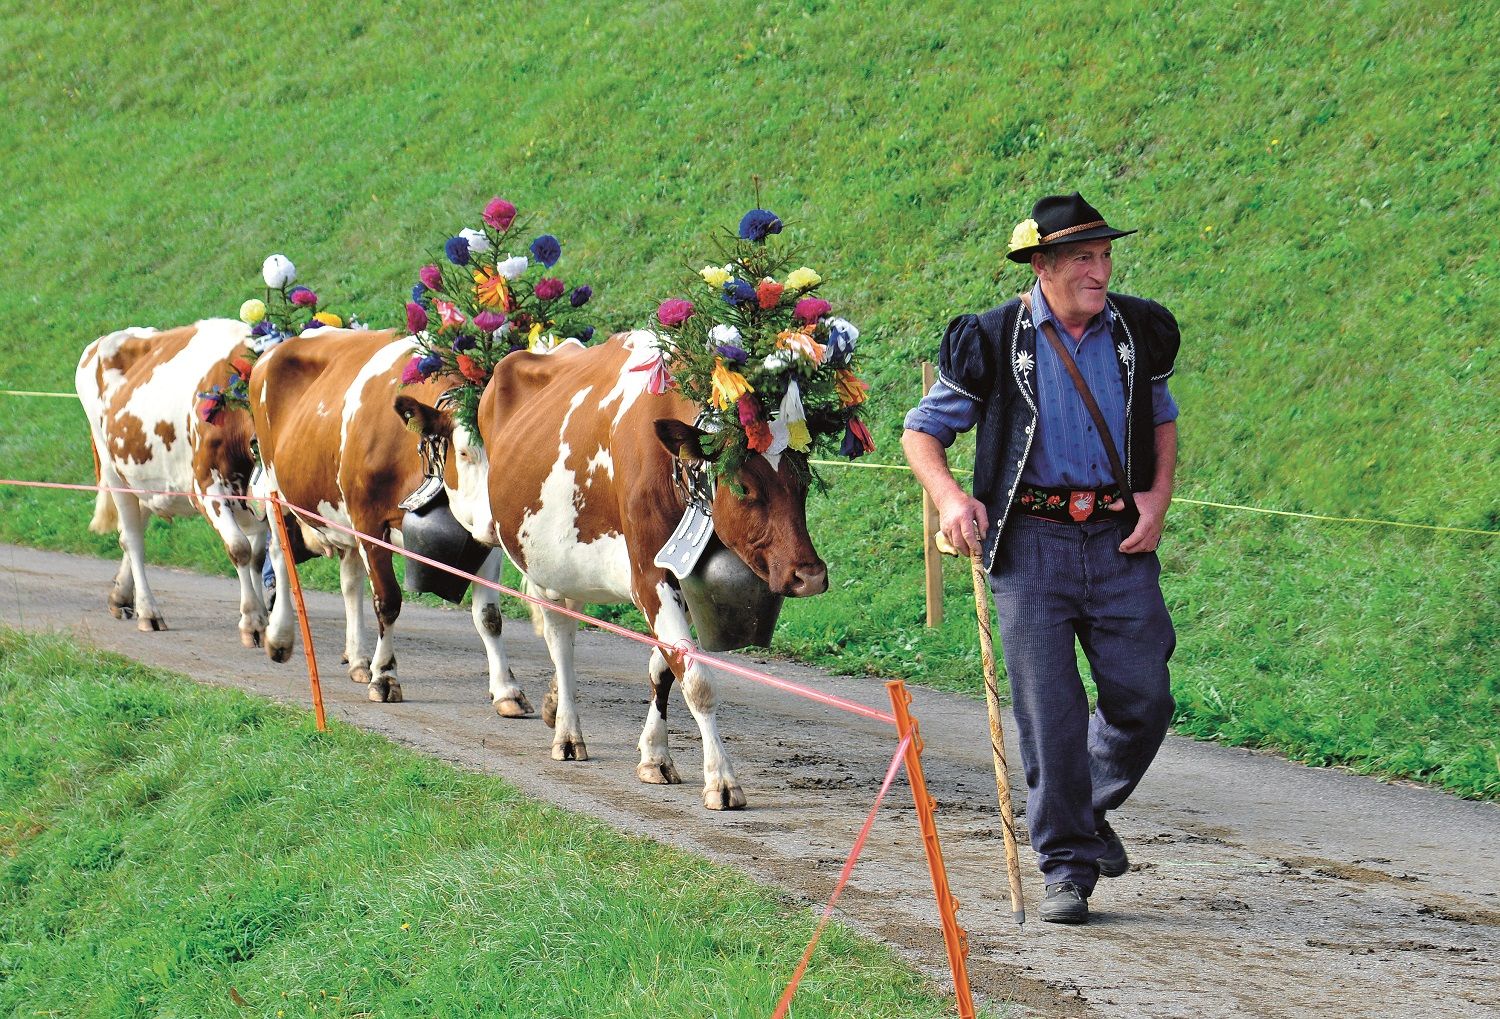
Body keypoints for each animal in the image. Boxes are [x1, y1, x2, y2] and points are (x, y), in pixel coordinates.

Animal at [73, 318, 270, 645]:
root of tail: (101, 341)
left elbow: (257, 556)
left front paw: (264, 618)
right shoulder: (207, 489)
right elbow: (239, 548)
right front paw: (252, 621)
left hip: (144, 479)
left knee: (133, 530)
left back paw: (121, 596)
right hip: (114, 471)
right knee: (133, 540)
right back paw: (149, 612)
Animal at [246, 328, 528, 708]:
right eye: (465, 452)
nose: (499, 521)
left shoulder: (481, 536)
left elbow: (489, 616)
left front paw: (506, 690)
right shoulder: (368, 521)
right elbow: (388, 601)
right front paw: (385, 677)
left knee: (349, 581)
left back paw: (357, 658)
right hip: (277, 492)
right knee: (280, 556)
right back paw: (280, 638)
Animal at [408, 330, 834, 810]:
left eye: (804, 480)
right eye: (743, 486)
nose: (810, 575)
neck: (673, 470)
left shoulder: (681, 583)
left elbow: (663, 668)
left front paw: (655, 755)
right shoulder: (649, 575)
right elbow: (696, 680)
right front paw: (721, 779)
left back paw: (556, 706)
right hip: (537, 559)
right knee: (560, 639)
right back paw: (567, 732)